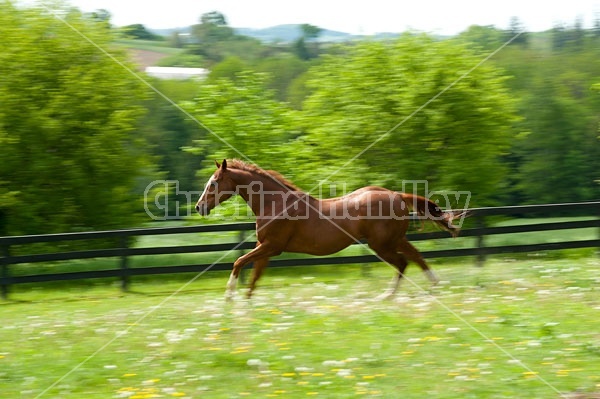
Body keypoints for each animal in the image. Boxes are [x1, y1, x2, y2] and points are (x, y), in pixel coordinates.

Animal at [195, 159, 462, 300]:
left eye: (214, 183)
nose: (199, 207)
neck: (275, 202)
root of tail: (396, 195)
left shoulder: (272, 246)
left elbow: (239, 262)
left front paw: (229, 296)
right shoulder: (266, 249)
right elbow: (254, 277)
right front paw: (246, 304)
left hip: (382, 244)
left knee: (402, 262)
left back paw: (388, 296)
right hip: (394, 239)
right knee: (415, 256)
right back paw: (433, 286)